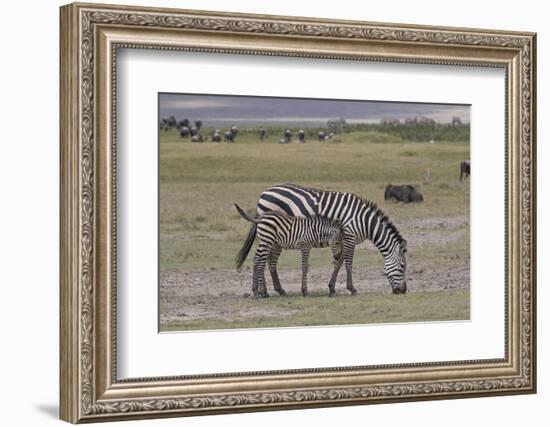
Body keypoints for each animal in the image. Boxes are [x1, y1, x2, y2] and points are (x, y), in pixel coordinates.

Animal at [237, 184, 410, 298]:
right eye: (403, 266)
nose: (403, 291)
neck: (364, 221)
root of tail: (264, 192)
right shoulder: (349, 237)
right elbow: (348, 263)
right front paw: (351, 288)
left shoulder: (344, 240)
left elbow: (339, 262)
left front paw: (332, 288)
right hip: (271, 235)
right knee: (264, 259)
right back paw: (263, 291)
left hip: (276, 237)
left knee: (268, 260)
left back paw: (272, 290)